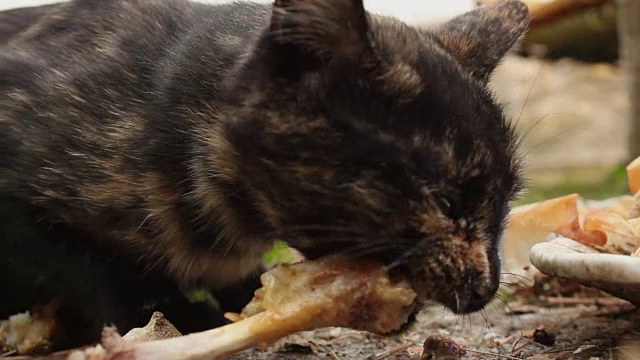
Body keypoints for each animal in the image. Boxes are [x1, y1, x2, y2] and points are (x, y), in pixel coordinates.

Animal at [1, 0, 528, 352]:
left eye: (507, 200)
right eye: (446, 202)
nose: (486, 289)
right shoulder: (17, 206)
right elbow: (95, 269)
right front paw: (180, 315)